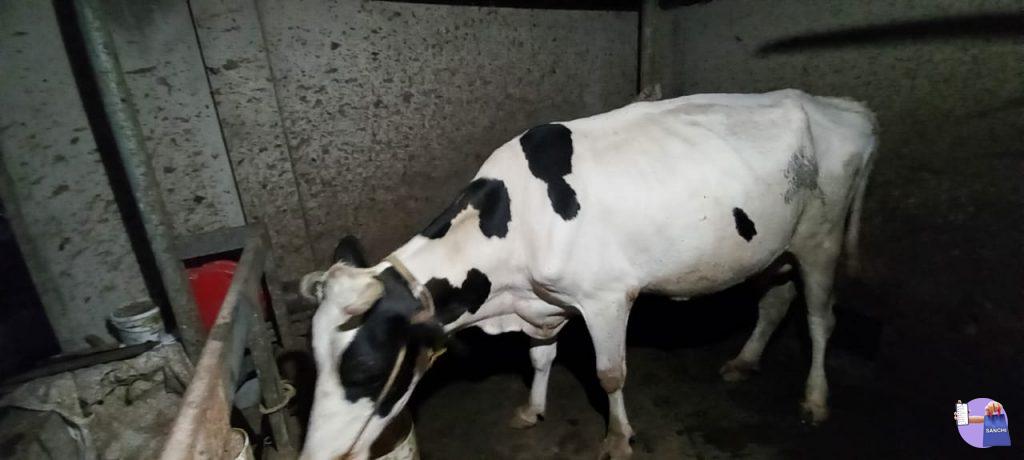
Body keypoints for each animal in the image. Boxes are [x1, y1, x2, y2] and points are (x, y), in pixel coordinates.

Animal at [298, 89, 877, 460]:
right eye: (315, 364)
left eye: (368, 371)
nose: (316, 456)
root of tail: (843, 106)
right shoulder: (545, 303)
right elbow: (539, 357)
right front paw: (532, 410)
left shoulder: (607, 299)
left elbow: (609, 374)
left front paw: (618, 440)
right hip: (770, 248)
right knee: (775, 303)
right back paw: (744, 361)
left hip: (821, 239)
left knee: (820, 320)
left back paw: (815, 399)